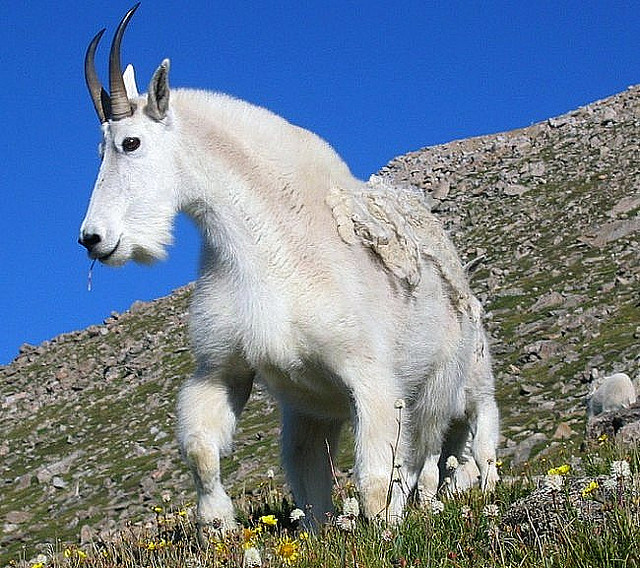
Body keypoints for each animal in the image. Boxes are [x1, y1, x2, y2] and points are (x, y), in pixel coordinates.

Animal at [79, 5, 499, 531]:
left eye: (130, 142)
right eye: (99, 150)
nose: (93, 239)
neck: (263, 247)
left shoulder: (371, 377)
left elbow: (375, 475)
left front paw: (387, 534)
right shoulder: (222, 369)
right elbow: (201, 448)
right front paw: (219, 525)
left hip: (443, 390)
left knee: (435, 456)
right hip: (311, 413)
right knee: (314, 476)